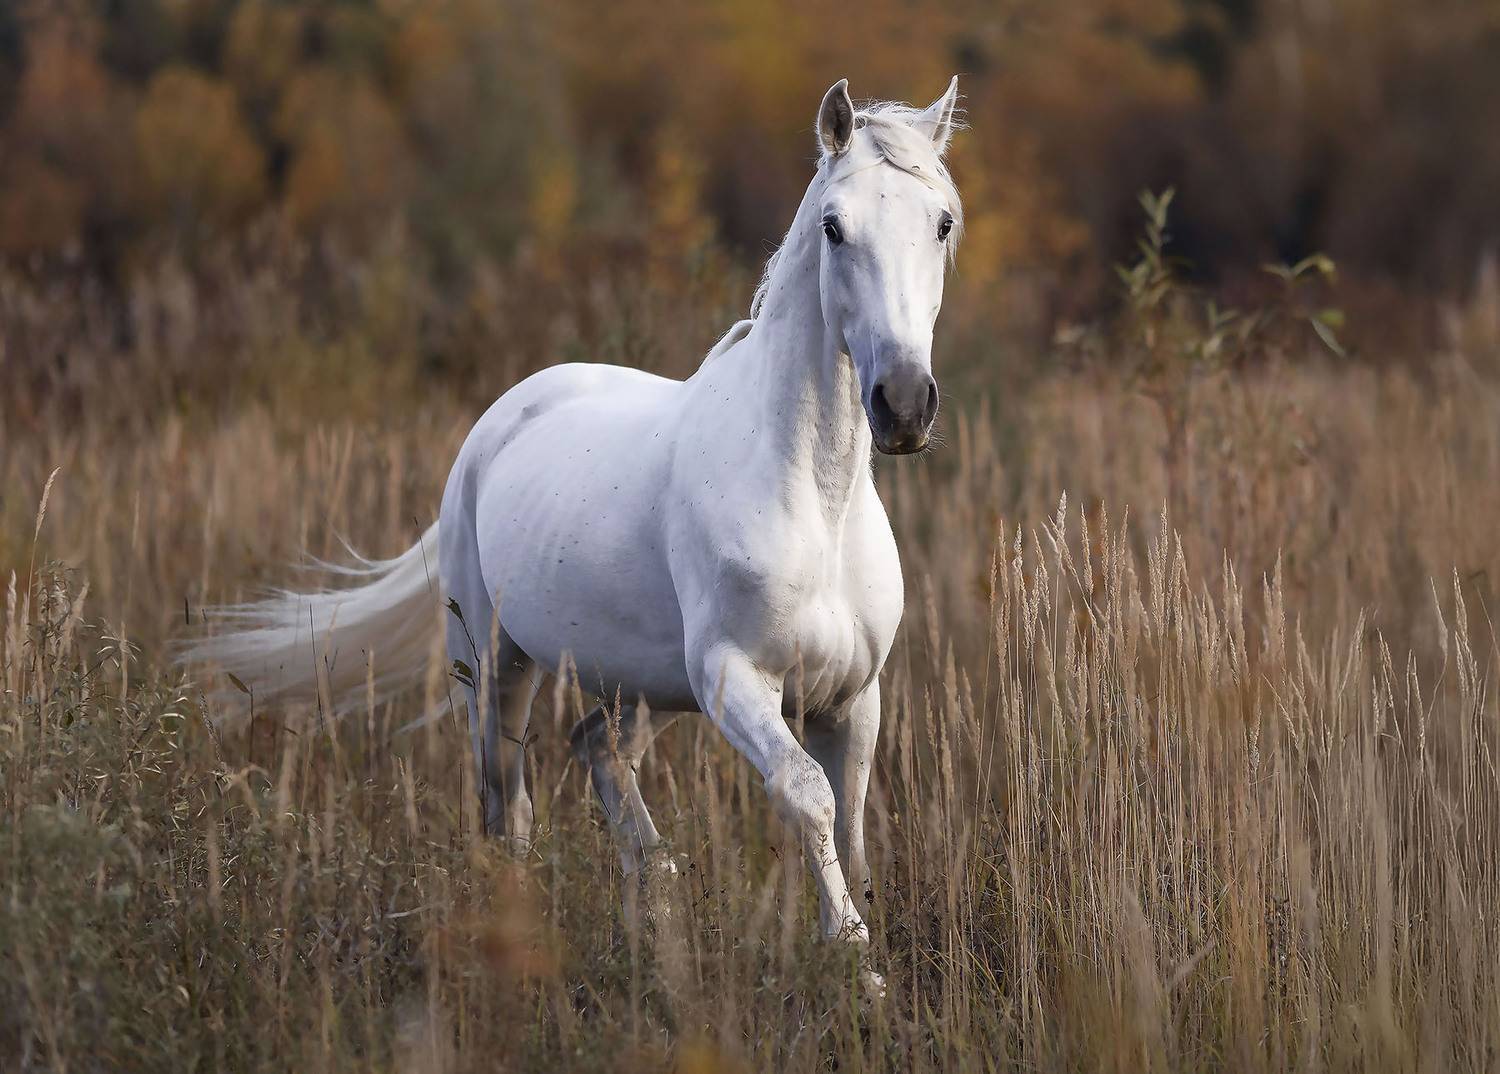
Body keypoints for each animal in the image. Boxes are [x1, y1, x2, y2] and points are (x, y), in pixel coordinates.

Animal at [187, 77, 965, 961]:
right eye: (835, 227)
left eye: (941, 222)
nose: (902, 404)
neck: (814, 503)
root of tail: (500, 420)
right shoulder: (733, 679)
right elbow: (808, 797)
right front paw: (856, 961)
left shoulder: (853, 697)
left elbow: (857, 831)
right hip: (492, 666)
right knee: (508, 807)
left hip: (634, 686)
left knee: (598, 755)